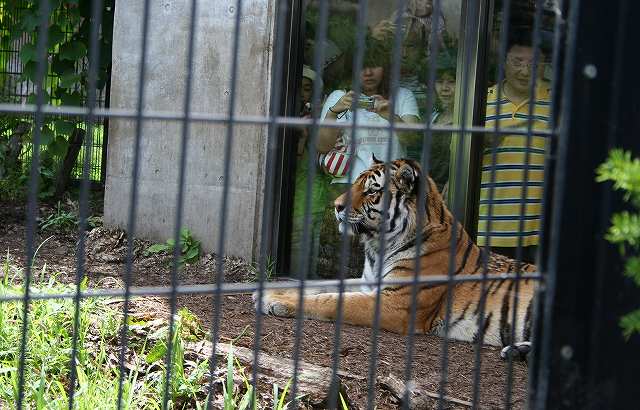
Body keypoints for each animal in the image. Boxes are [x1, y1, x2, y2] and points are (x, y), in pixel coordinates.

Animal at [258, 157, 536, 358]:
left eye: (371, 191)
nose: (336, 206)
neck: (378, 246)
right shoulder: (367, 282)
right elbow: (321, 287)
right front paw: (270, 291)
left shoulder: (396, 302)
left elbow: (333, 300)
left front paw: (274, 301)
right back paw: (516, 351)